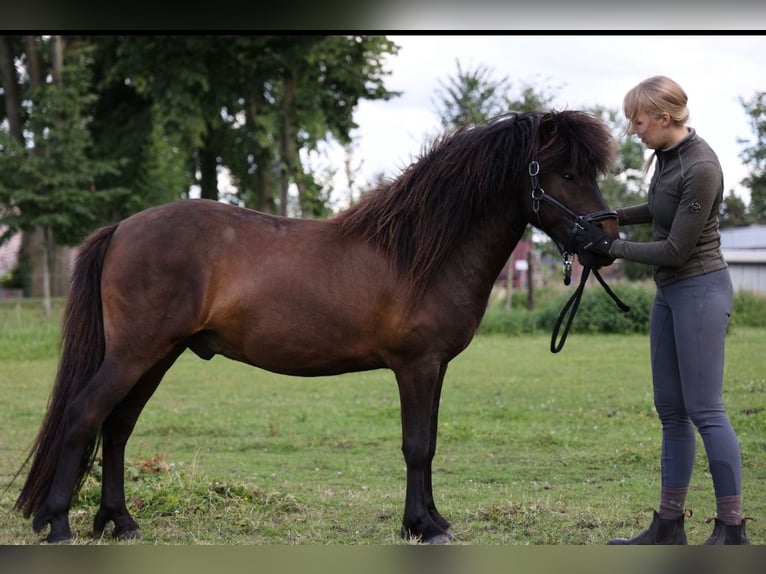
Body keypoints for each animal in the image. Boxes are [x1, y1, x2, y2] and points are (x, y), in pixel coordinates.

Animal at [13, 110, 616, 548]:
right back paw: (59, 525)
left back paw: (121, 523)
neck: (420, 251)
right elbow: (417, 446)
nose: (606, 243)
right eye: (566, 173)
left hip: (157, 355)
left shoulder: (435, 367)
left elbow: (431, 444)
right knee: (84, 414)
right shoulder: (416, 366)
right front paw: (422, 527)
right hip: (135, 353)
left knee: (117, 427)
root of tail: (121, 228)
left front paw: (431, 521)